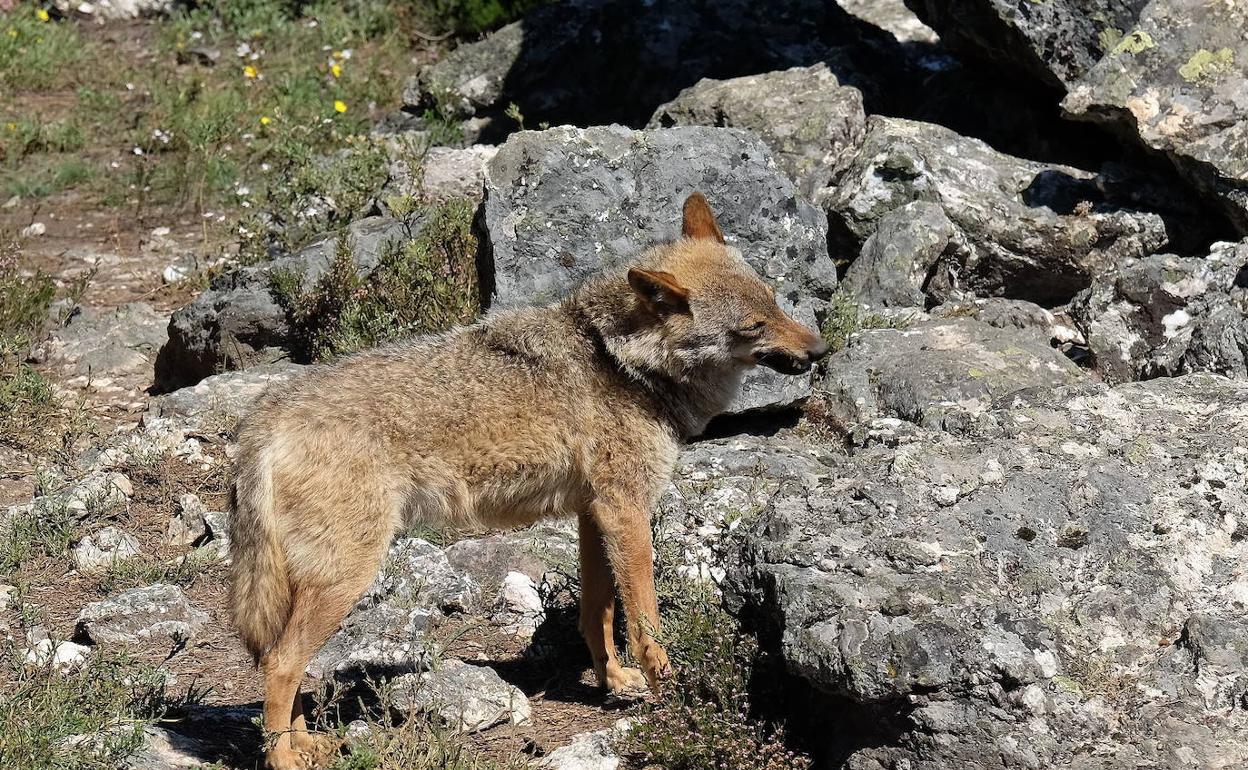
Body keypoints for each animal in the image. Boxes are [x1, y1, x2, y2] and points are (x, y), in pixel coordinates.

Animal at [229, 192, 833, 768]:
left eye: (775, 301)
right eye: (753, 326)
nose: (820, 350)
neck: (622, 362)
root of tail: (263, 417)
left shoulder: (594, 512)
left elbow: (597, 613)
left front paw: (615, 682)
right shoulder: (626, 510)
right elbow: (645, 621)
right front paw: (667, 689)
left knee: (282, 663)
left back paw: (305, 744)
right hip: (345, 577)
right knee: (280, 663)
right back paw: (283, 757)